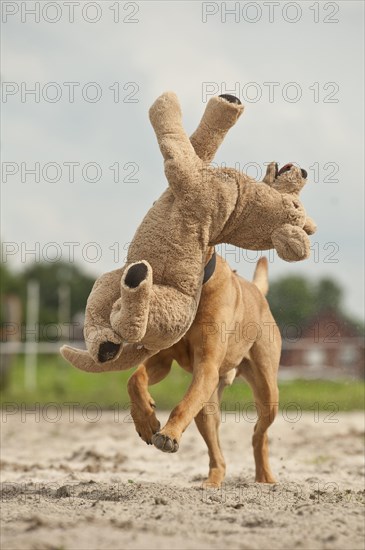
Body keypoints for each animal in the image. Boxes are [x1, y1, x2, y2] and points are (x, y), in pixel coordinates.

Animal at [126, 252, 280, 490]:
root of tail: (256, 290)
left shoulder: (207, 366)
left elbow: (181, 406)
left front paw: (169, 435)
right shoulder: (162, 360)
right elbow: (134, 380)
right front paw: (146, 421)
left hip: (267, 391)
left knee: (258, 434)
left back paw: (264, 478)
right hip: (206, 408)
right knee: (217, 452)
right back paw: (212, 482)